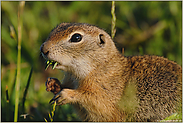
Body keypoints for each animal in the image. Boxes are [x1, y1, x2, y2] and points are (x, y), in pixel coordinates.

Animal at [40, 22, 182, 121]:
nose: (43, 49)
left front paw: (66, 94)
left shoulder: (104, 93)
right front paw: (52, 83)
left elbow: (93, 100)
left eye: (76, 37)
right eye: (56, 27)